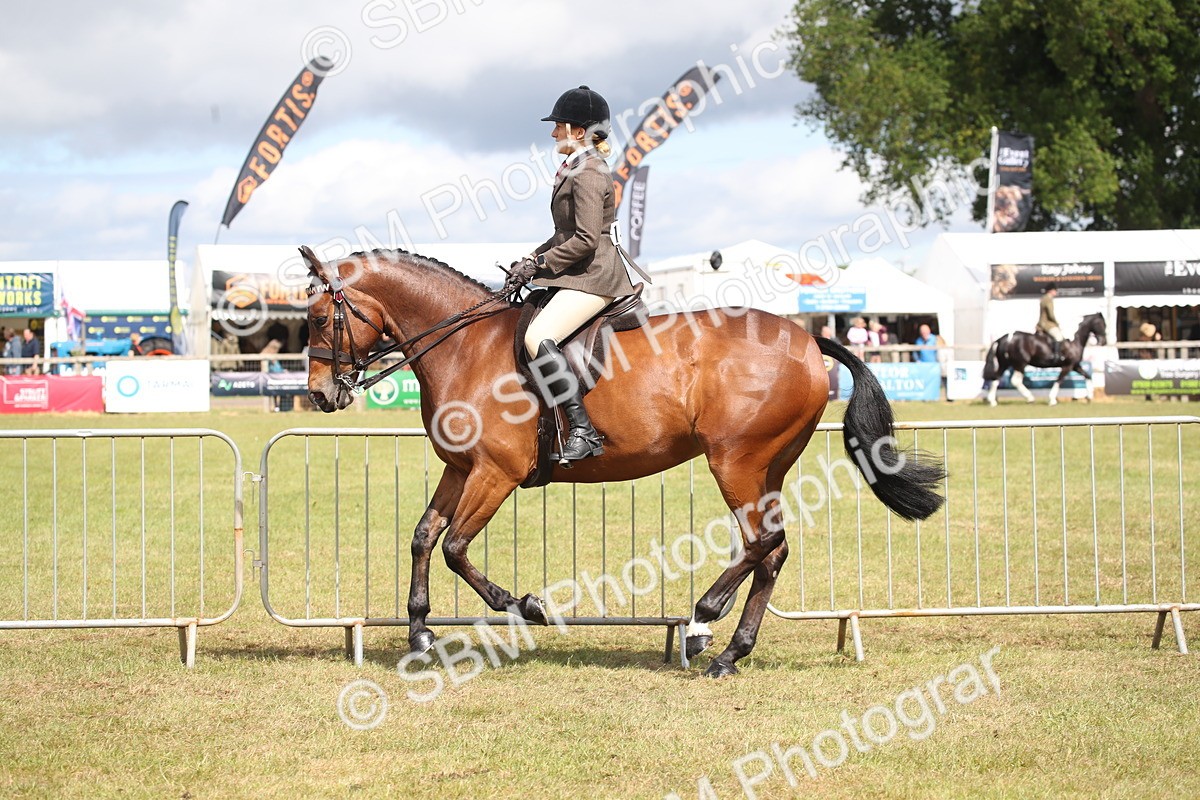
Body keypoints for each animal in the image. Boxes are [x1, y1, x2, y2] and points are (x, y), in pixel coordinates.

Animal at [300, 246, 946, 678]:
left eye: (321, 318)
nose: (319, 396)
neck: (466, 346)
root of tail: (810, 340)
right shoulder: (461, 468)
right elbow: (423, 537)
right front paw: (418, 633)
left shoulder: (495, 473)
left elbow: (456, 547)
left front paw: (524, 606)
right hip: (769, 467)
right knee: (773, 551)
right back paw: (732, 652)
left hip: (735, 461)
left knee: (763, 542)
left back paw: (702, 624)